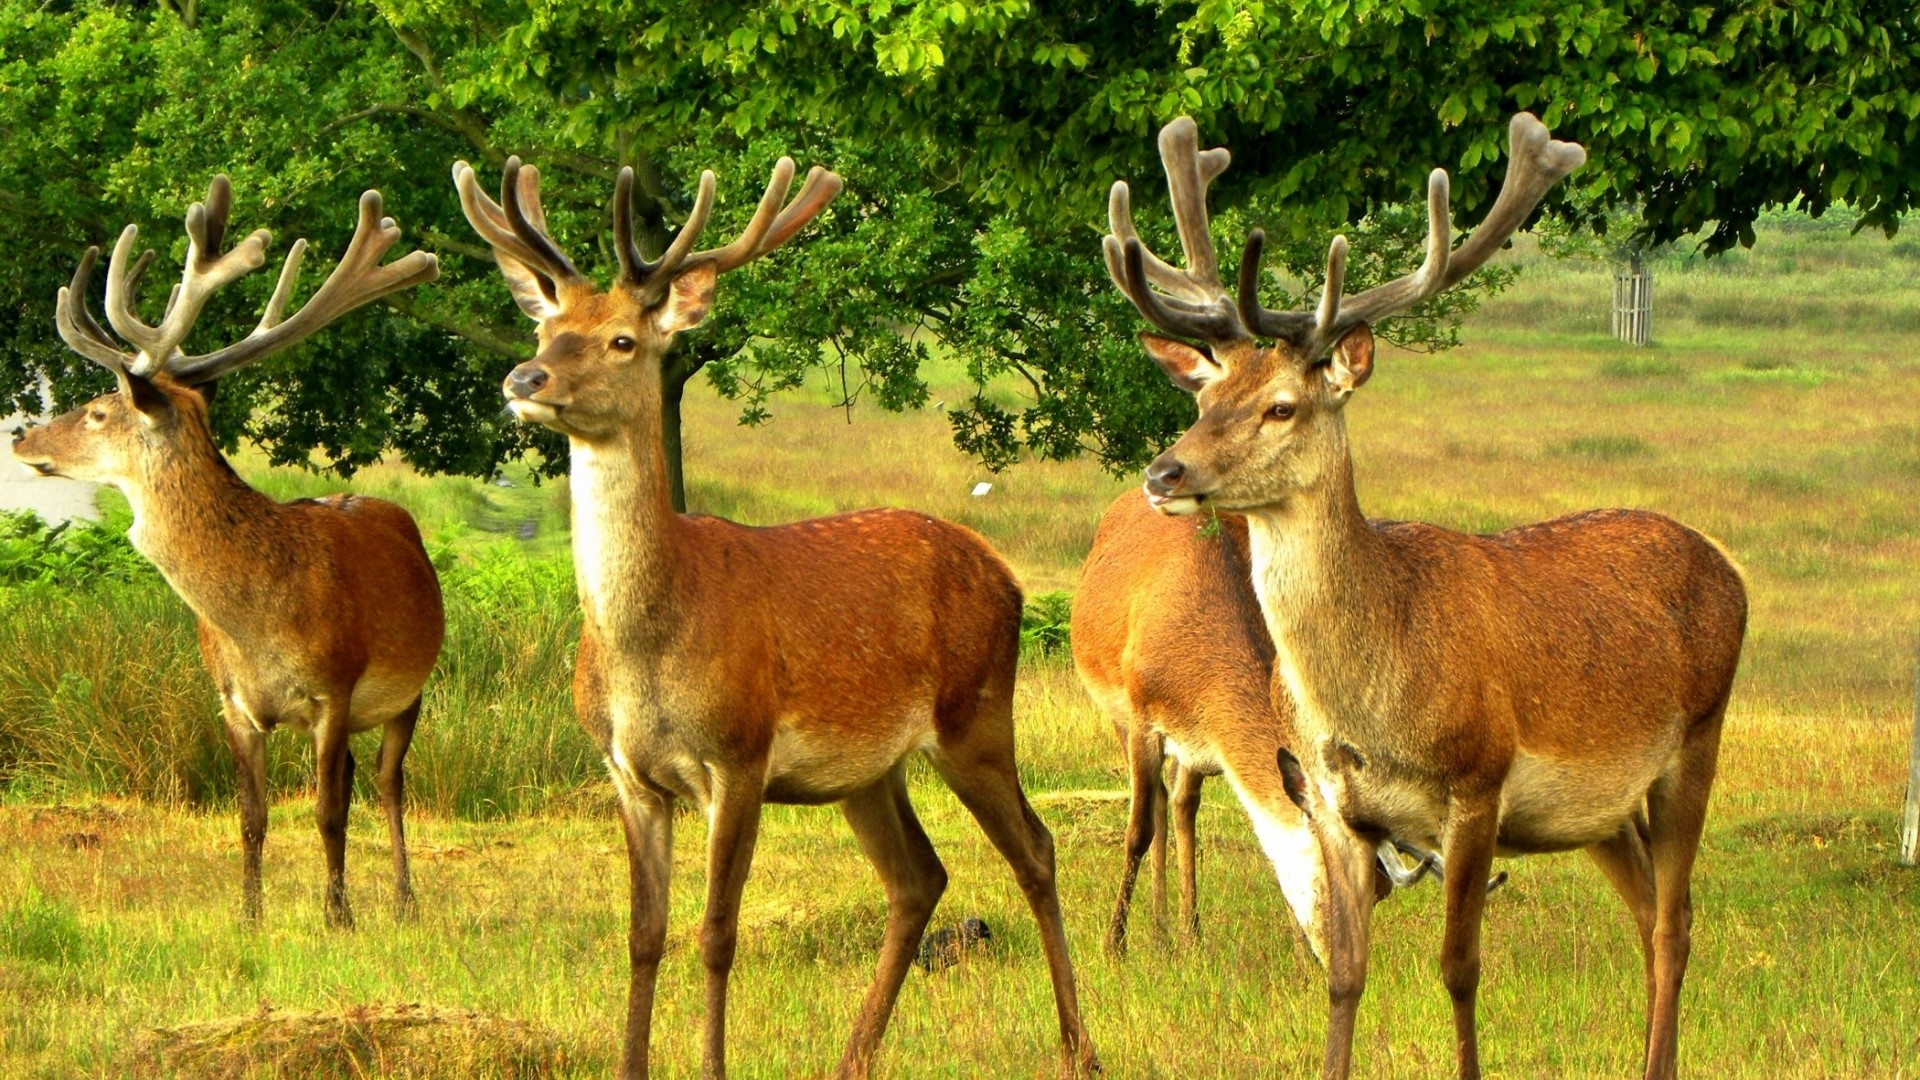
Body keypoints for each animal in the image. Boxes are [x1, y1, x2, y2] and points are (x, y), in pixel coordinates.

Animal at [13, 177, 444, 930]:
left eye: (97, 411)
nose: (21, 439)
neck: (256, 620)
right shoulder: (233, 701)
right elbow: (252, 817)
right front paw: (250, 916)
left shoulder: (333, 688)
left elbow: (329, 814)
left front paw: (337, 919)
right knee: (358, 779)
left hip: (408, 689)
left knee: (388, 784)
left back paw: (402, 900)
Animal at [453, 154, 1097, 1080]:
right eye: (546, 331)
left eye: (623, 340)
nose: (523, 379)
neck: (647, 646)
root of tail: (1003, 571)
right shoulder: (626, 770)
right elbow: (643, 936)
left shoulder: (739, 754)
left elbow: (716, 934)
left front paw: (712, 1064)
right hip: (868, 769)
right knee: (918, 876)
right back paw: (854, 1056)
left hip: (977, 712)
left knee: (1036, 850)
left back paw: (1078, 1048)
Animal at [1105, 113, 1747, 1079]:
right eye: (1205, 396)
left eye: (1284, 405)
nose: (1163, 472)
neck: (1374, 695)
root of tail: (1728, 571)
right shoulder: (1336, 805)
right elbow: (1345, 974)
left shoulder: (1478, 782)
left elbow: (1458, 967)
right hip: (1599, 810)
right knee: (1647, 913)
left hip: (1698, 739)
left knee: (1675, 922)